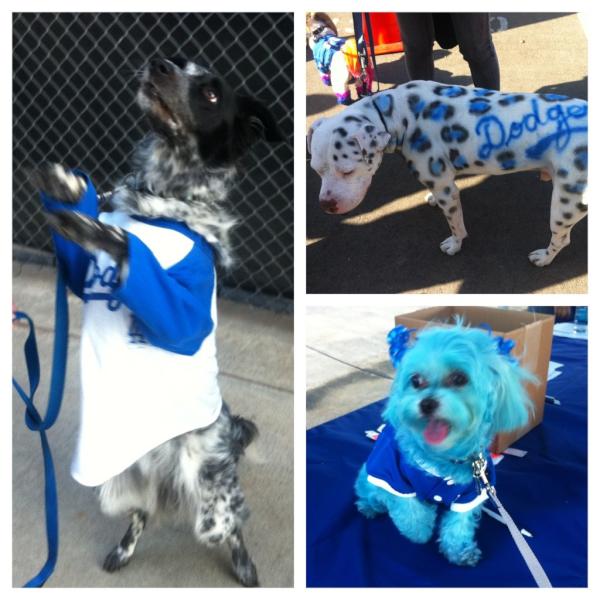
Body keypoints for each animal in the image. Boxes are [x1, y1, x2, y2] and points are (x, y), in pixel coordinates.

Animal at [32, 57, 284, 584]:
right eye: (182, 65)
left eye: (211, 93)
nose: (159, 63)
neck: (163, 203)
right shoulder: (79, 276)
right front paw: (70, 190)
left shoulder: (185, 316)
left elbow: (127, 249)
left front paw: (97, 228)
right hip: (118, 485)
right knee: (140, 514)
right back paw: (123, 550)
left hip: (213, 501)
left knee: (231, 527)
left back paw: (244, 566)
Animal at [308, 79, 588, 264]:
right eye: (316, 170)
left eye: (347, 171)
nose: (326, 205)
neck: (396, 111)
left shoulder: (447, 190)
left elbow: (456, 225)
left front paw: (454, 245)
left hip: (564, 205)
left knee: (562, 238)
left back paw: (544, 258)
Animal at [354, 322, 536, 564]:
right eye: (416, 381)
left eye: (459, 378)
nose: (427, 403)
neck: (443, 457)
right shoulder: (393, 476)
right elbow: (409, 511)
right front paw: (419, 531)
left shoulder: (470, 495)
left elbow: (458, 525)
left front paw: (460, 551)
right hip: (372, 472)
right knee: (367, 491)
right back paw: (370, 506)